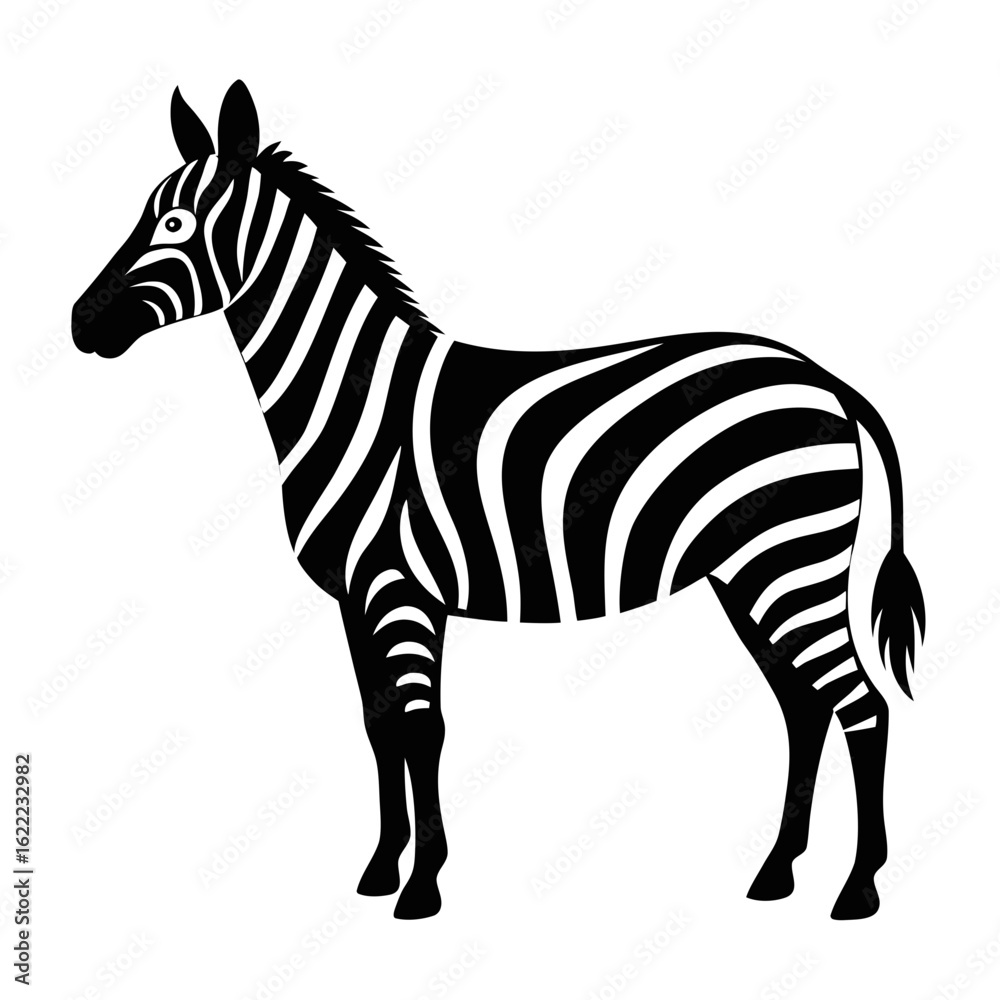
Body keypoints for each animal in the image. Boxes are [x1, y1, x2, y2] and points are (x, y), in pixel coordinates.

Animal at [72, 81, 926, 921]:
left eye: (174, 223)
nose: (81, 324)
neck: (353, 394)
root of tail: (824, 379)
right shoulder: (356, 596)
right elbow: (379, 727)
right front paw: (381, 869)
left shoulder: (398, 588)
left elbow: (421, 728)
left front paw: (422, 887)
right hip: (746, 572)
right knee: (803, 705)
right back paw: (777, 872)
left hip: (789, 561)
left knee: (863, 705)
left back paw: (858, 890)